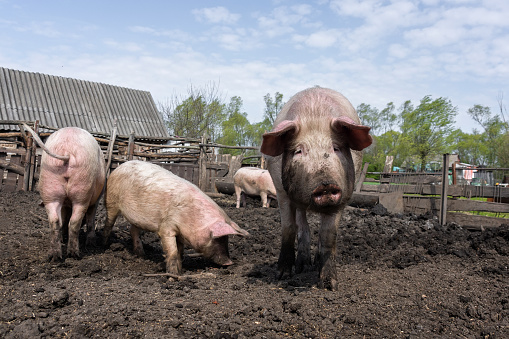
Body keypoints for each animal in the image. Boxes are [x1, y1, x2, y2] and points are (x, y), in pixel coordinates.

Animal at [26, 126, 106, 262]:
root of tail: (67, 151)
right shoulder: (95, 201)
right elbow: (90, 219)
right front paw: (91, 243)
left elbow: (63, 218)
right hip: (82, 189)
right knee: (74, 222)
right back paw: (74, 255)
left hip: (50, 185)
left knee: (54, 220)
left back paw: (55, 256)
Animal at [102, 161, 249, 274]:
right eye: (218, 239)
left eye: (227, 239)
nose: (229, 263)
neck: (191, 216)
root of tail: (120, 166)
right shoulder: (167, 227)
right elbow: (172, 251)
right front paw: (174, 275)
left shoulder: (181, 233)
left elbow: (180, 252)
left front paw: (180, 269)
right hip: (111, 200)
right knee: (109, 223)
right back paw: (105, 244)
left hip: (137, 219)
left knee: (133, 231)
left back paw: (141, 254)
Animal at [260, 86, 372, 290]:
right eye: (298, 151)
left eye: (336, 148)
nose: (325, 184)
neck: (314, 115)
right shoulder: (281, 192)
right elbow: (288, 228)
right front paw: (282, 275)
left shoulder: (342, 197)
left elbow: (328, 235)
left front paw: (329, 285)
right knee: (302, 226)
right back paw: (302, 266)